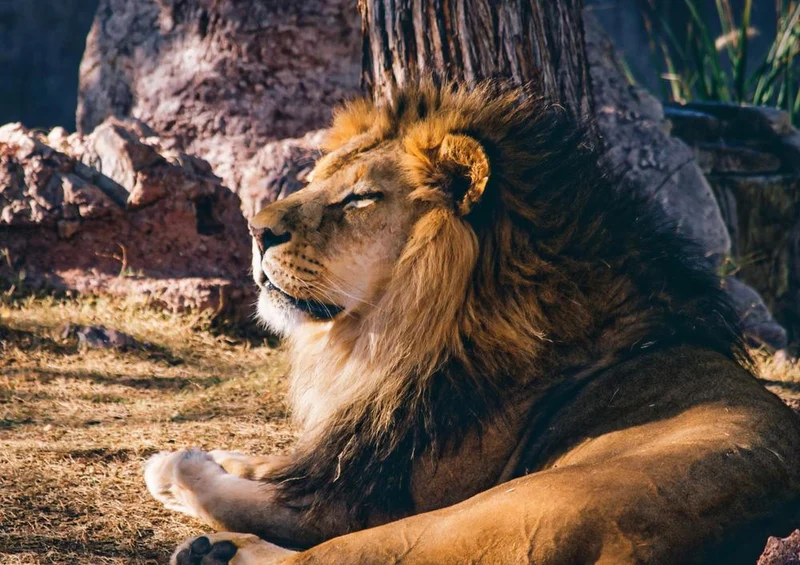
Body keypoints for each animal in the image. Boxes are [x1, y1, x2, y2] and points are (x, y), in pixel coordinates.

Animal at [145, 83, 800, 565]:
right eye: (316, 180)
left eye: (359, 199)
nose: (255, 230)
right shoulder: (358, 452)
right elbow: (277, 465)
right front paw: (212, 454)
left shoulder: (372, 499)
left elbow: (250, 496)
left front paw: (180, 467)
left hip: (476, 513)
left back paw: (213, 551)